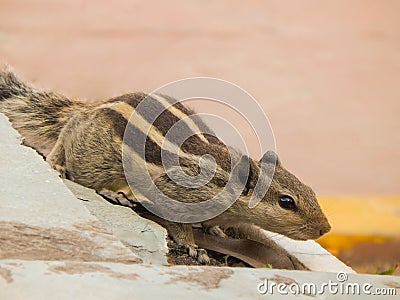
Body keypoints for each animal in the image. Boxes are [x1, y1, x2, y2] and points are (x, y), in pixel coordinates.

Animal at [0, 69, 332, 264]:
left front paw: (216, 231)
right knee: (71, 130)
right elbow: (178, 225)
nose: (325, 228)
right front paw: (194, 247)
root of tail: (98, 104)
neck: (223, 177)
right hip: (94, 157)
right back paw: (63, 164)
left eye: (312, 191)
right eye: (286, 201)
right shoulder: (175, 194)